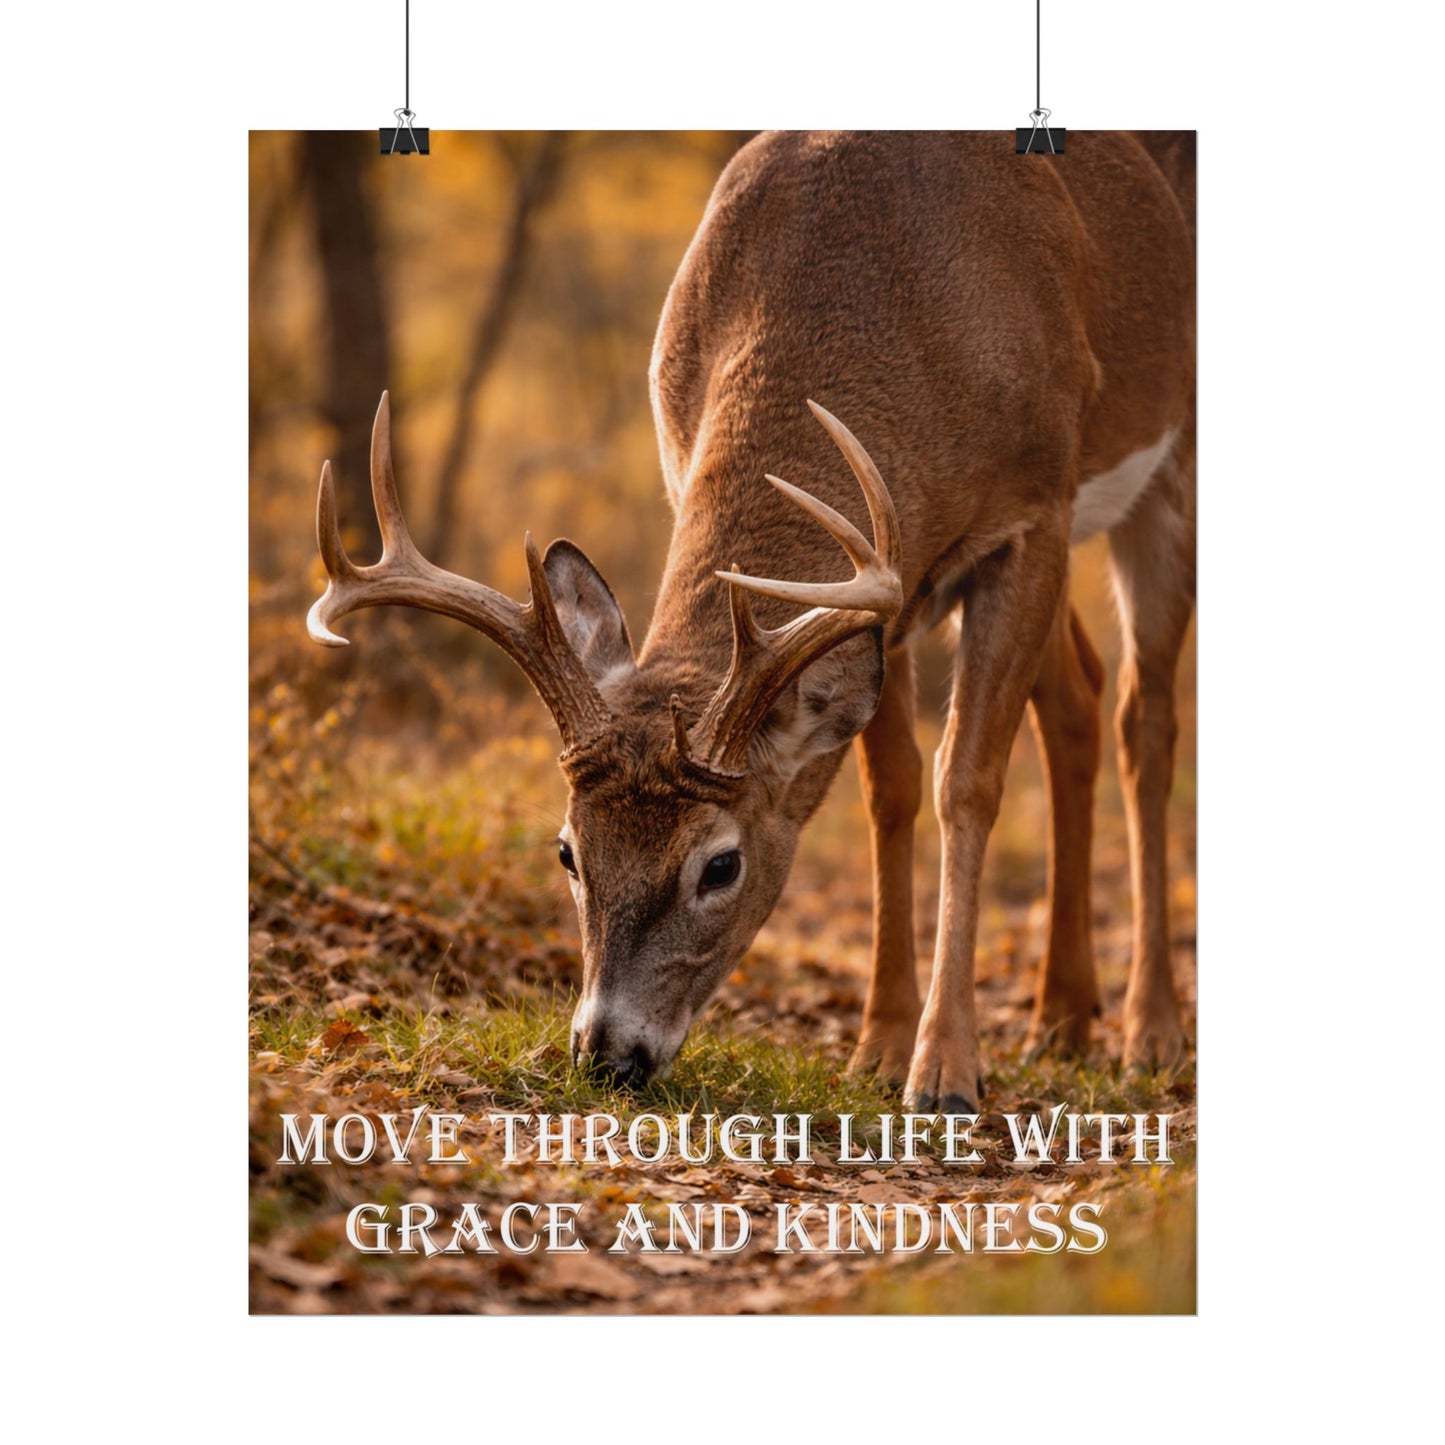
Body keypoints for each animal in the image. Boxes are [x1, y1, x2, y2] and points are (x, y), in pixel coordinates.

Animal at [307, 131, 1195, 1114]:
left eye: (720, 864)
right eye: (568, 850)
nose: (608, 1056)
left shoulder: (1029, 514)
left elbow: (963, 781)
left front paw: (944, 1070)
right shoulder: (887, 581)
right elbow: (888, 788)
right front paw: (879, 1045)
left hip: (1162, 468)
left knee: (1144, 717)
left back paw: (1150, 1031)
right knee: (1078, 695)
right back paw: (1062, 1016)